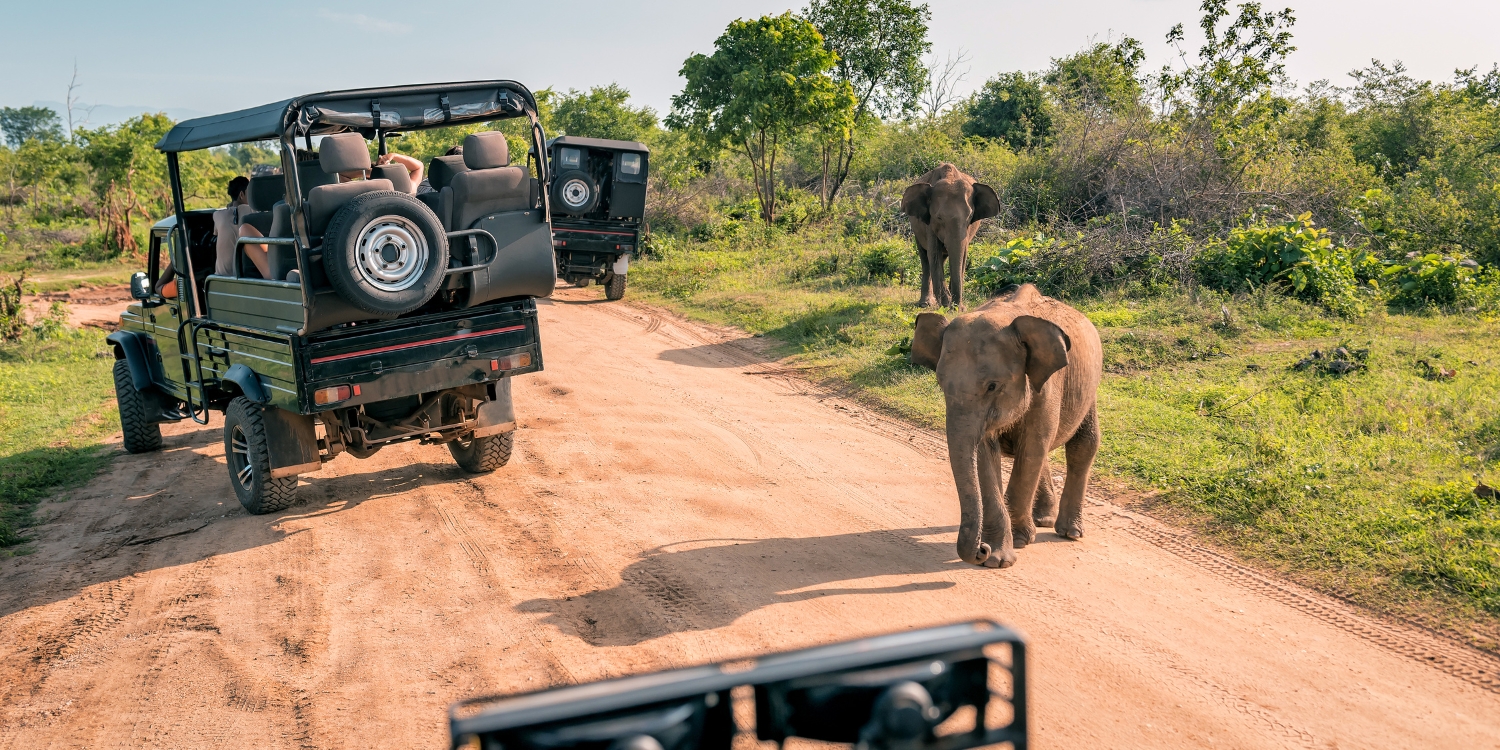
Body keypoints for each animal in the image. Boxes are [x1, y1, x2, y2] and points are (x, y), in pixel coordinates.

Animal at [894, 162, 1002, 309]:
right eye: (939, 218)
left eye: (970, 217)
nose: (957, 306)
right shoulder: (929, 223)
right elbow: (934, 254)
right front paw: (946, 305)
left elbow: (962, 255)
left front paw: (956, 307)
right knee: (926, 259)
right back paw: (926, 304)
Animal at [900, 282, 1104, 567]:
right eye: (941, 384)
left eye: (992, 386)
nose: (980, 549)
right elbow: (987, 454)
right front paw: (997, 557)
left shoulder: (1048, 387)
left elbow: (1032, 448)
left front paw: (1017, 541)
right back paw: (1042, 519)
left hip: (1089, 387)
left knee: (1082, 444)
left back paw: (1069, 532)